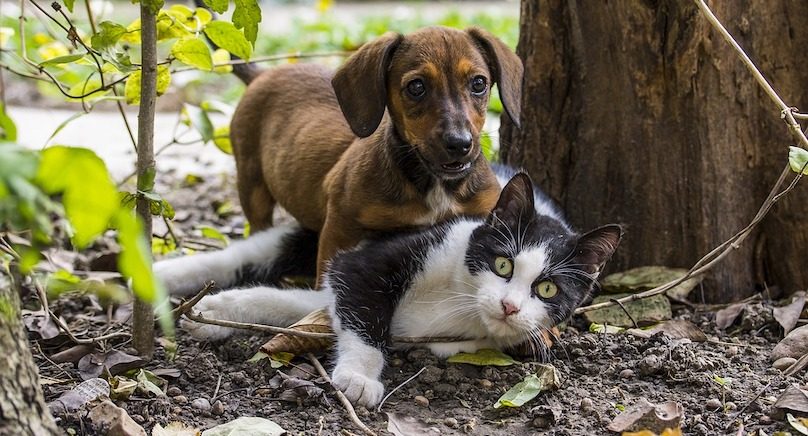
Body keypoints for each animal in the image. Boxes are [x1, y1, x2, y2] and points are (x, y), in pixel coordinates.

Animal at [155, 171, 620, 408]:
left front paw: (220, 312)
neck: (461, 300)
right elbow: (362, 310)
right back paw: (160, 274)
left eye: (547, 289)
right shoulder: (373, 259)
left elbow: (298, 304)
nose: (509, 306)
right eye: (503, 264)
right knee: (248, 252)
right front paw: (360, 377)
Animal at [227, 26, 524, 280]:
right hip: (252, 184)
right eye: (416, 87)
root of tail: (262, 75)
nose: (460, 144)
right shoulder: (340, 226)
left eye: (478, 83)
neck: (433, 184)